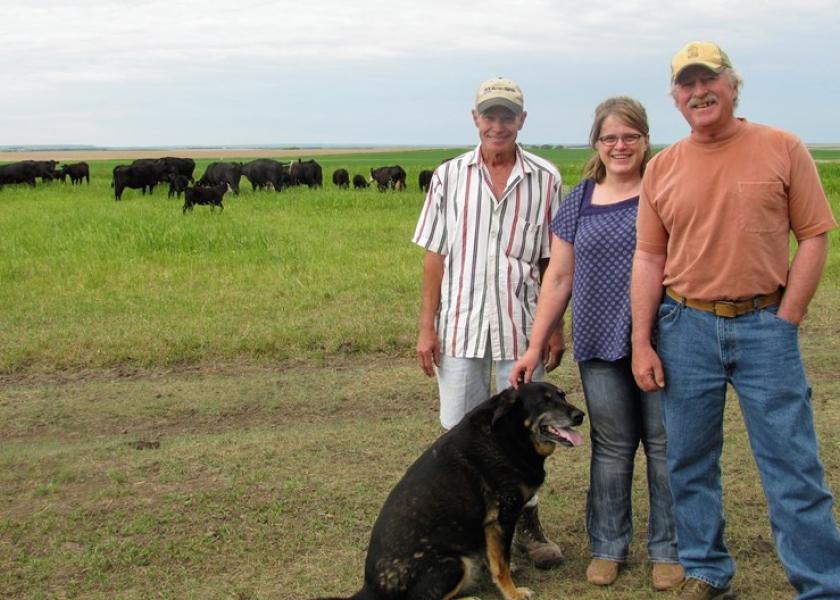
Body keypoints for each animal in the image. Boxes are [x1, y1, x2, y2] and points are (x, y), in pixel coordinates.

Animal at [316, 382, 584, 596]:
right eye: (544, 401)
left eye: (563, 395)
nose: (580, 415)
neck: (508, 433)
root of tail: (372, 588)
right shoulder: (502, 518)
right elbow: (502, 566)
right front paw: (513, 594)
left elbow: (495, 558)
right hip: (453, 564)